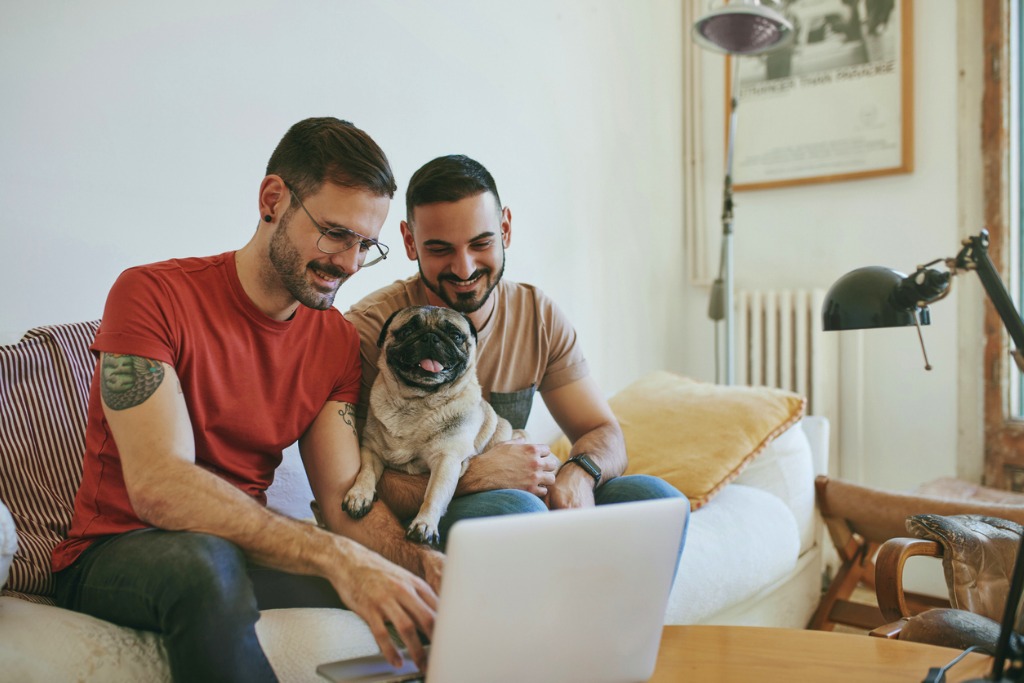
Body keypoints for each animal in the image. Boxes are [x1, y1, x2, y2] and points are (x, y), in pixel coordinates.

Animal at [344, 307, 524, 548]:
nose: (430, 337)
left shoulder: (446, 459)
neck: (416, 402)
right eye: (407, 330)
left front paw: (424, 524)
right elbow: (366, 472)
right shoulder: (371, 449)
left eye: (456, 335)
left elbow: (433, 495)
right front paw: (359, 495)